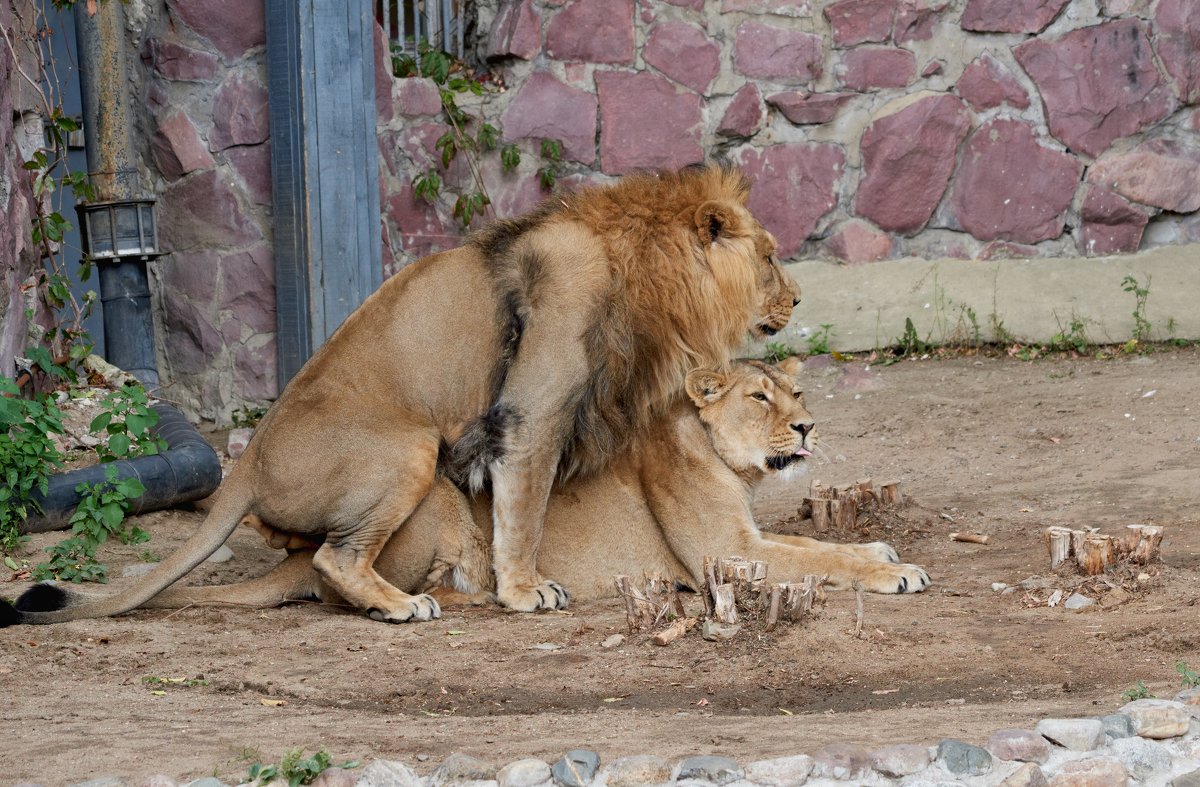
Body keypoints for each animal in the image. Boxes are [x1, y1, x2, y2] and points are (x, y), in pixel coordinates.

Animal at [7, 167, 806, 628]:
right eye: (770, 257)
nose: (797, 299)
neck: (640, 266)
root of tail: (246, 465)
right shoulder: (533, 409)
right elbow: (524, 511)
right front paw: (524, 591)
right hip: (411, 444)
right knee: (334, 561)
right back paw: (403, 605)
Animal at [117, 357, 931, 614]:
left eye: (796, 394)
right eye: (760, 398)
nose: (808, 426)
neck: (726, 462)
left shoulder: (751, 538)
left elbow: (816, 545)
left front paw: (883, 551)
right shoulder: (723, 554)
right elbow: (818, 558)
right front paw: (895, 572)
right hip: (430, 490)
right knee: (335, 576)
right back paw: (439, 599)